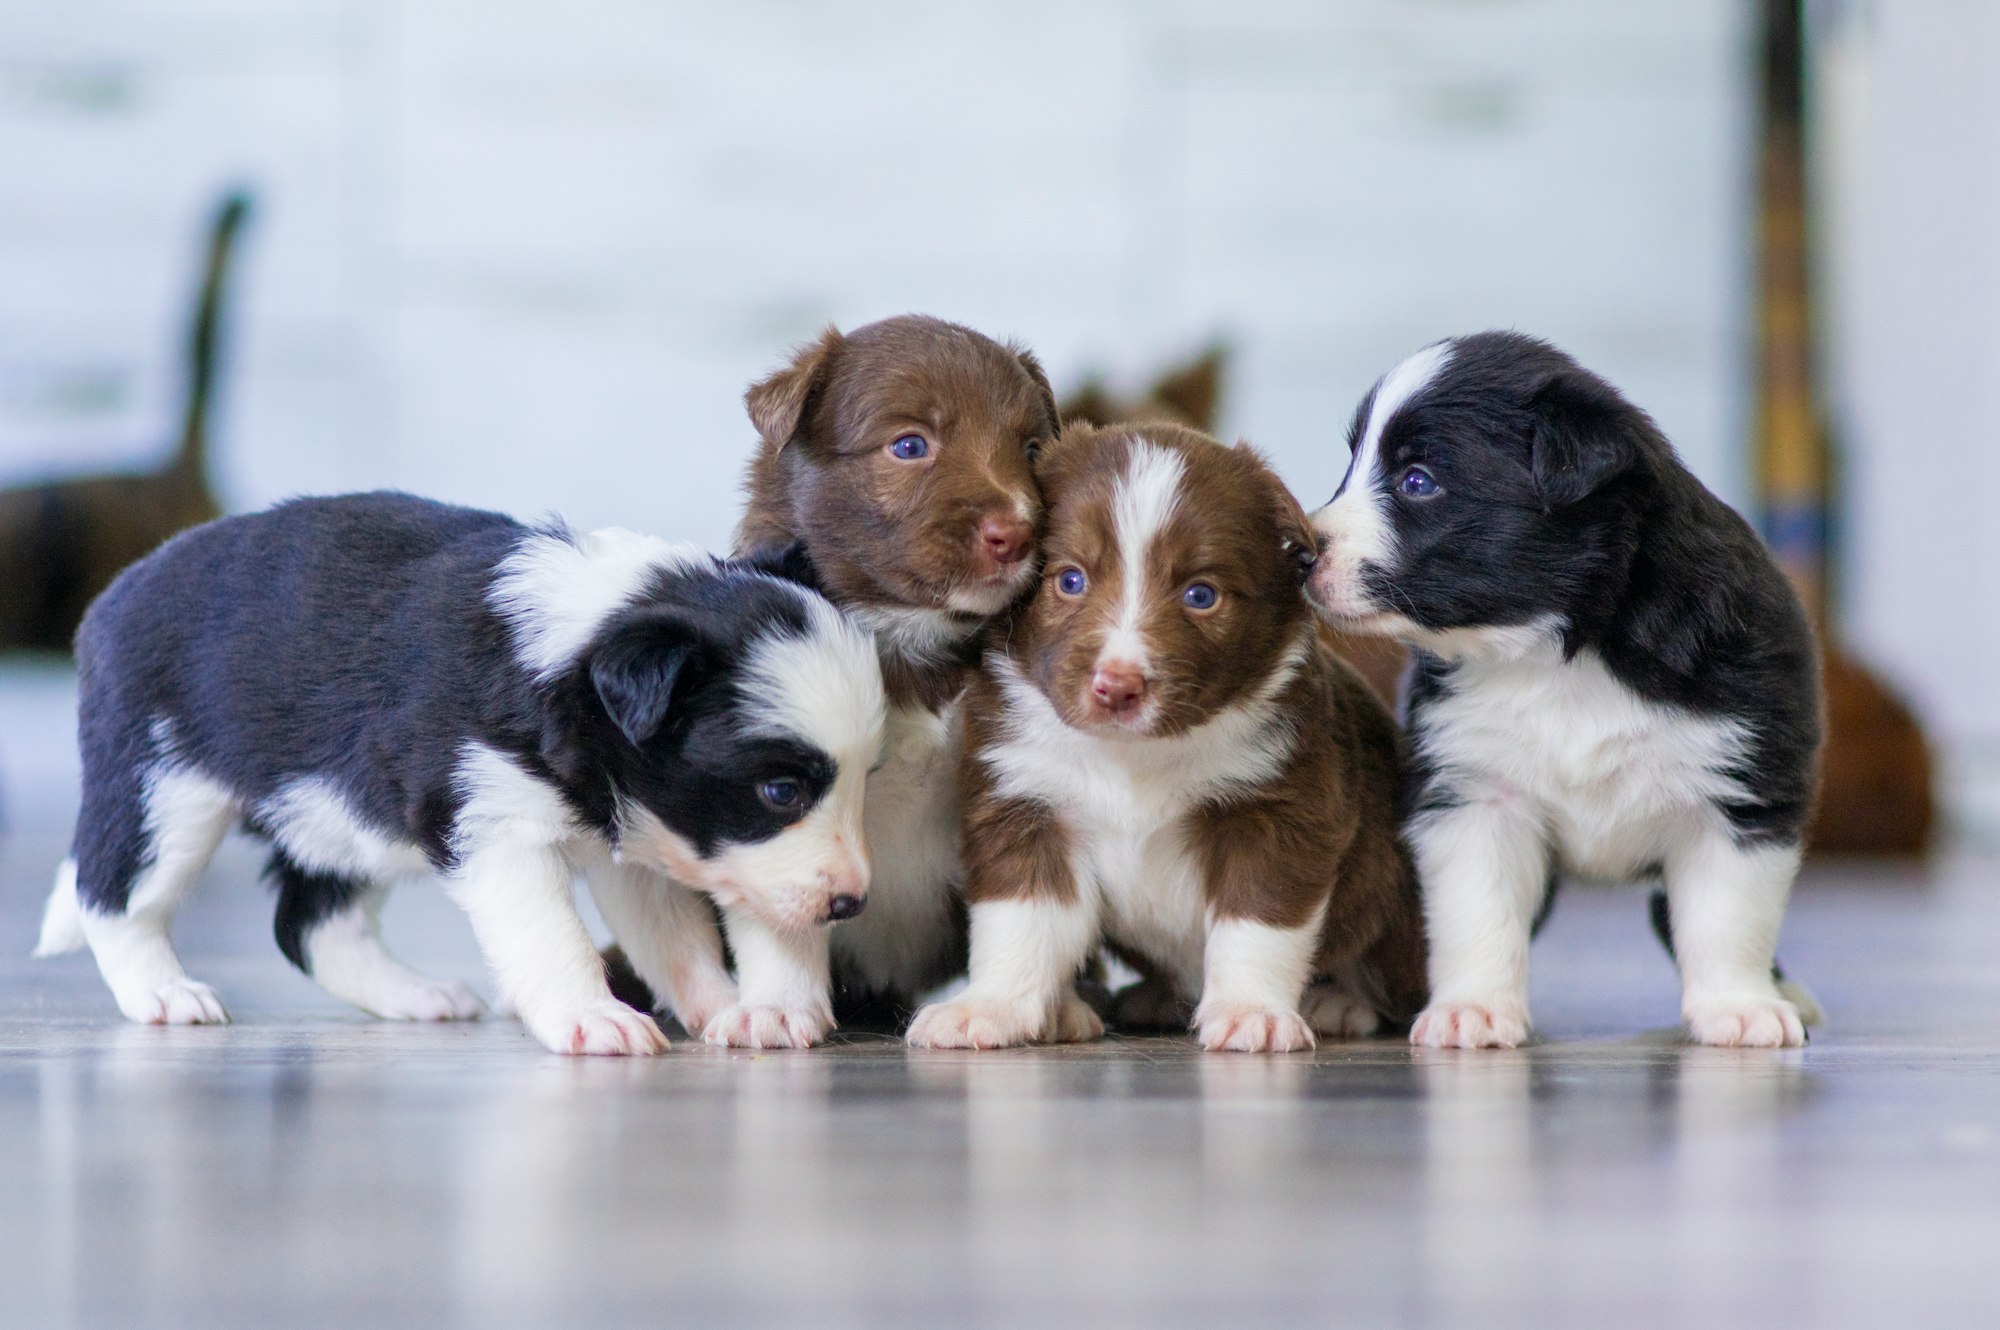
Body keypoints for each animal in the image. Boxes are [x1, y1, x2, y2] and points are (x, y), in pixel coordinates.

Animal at [31, 492, 884, 1056]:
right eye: (780, 792)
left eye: (865, 779)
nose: (850, 904)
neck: (581, 650)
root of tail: (115, 594)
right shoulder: (496, 828)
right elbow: (554, 937)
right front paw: (593, 1018)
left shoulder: (638, 840)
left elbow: (674, 938)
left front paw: (729, 1008)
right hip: (165, 784)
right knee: (115, 894)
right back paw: (164, 993)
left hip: (339, 815)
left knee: (310, 924)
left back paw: (413, 995)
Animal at [908, 422, 1424, 1048]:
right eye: (1070, 580)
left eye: (1200, 595)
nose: (1117, 687)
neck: (1134, 755)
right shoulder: (1025, 802)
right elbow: (1018, 919)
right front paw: (987, 1007)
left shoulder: (1280, 807)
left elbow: (1256, 922)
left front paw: (1250, 1012)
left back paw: (1338, 1003)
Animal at [1304, 332, 1824, 1048]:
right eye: (1350, 464)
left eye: (1418, 481)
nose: (1300, 550)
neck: (1555, 653)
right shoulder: (1475, 795)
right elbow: (1477, 913)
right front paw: (1473, 1008)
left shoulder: (1739, 792)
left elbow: (1727, 917)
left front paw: (1739, 1007)